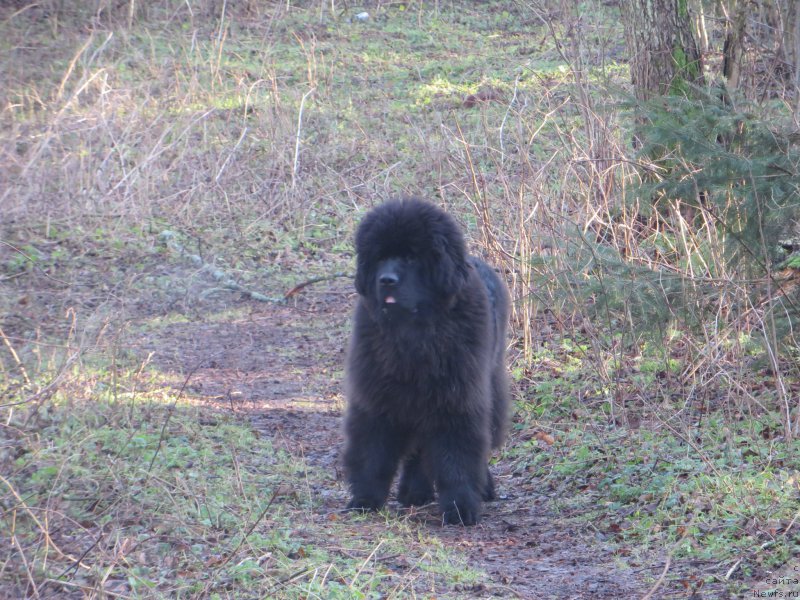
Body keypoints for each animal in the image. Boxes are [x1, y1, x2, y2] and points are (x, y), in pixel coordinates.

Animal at [346, 198, 512, 524]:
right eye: (380, 257)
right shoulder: (377, 397)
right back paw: (414, 492)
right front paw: (365, 499)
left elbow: (457, 455)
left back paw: (480, 488)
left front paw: (460, 508)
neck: (414, 334)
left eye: (411, 257)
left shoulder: (456, 398)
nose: (386, 280)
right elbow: (372, 451)